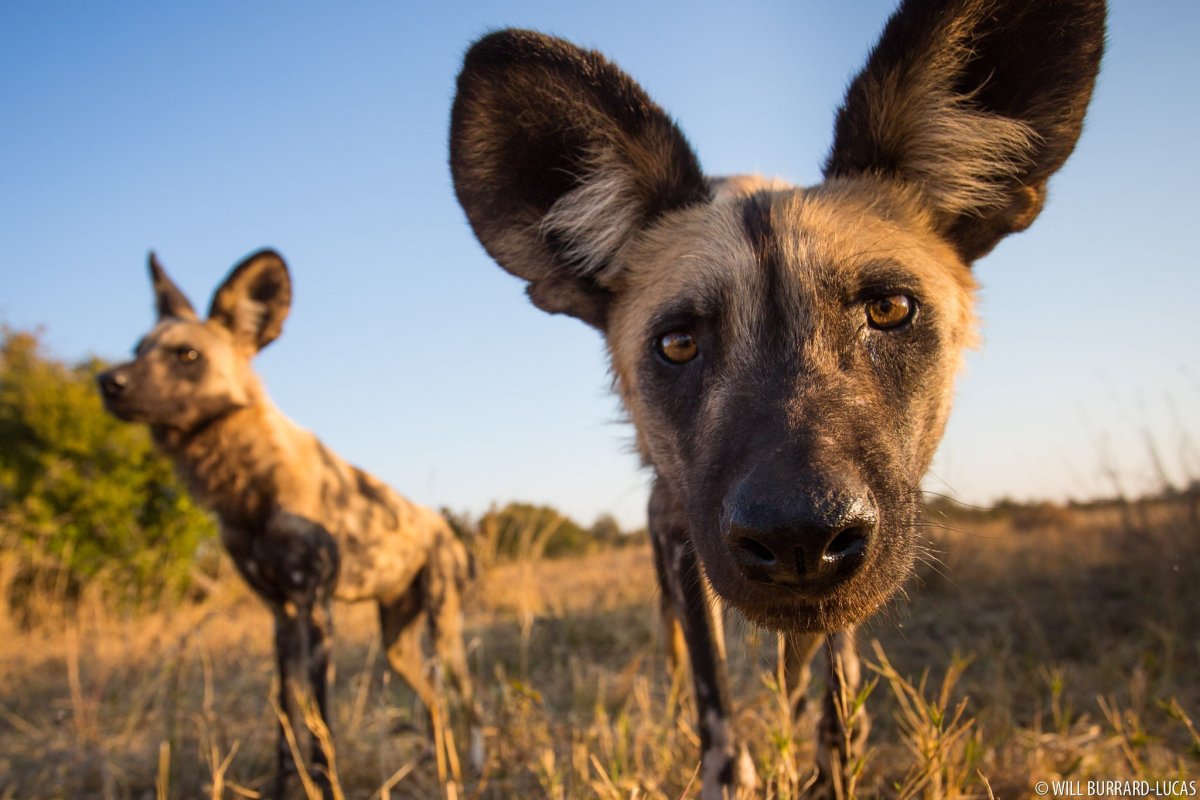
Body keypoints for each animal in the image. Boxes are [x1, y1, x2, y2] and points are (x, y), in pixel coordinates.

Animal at [97, 251, 477, 800]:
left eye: (187, 356)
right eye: (137, 350)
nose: (107, 382)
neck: (248, 487)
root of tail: (446, 526)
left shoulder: (315, 609)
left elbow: (321, 726)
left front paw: (327, 785)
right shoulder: (280, 616)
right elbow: (285, 717)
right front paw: (281, 787)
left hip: (444, 630)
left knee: (470, 699)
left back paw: (473, 767)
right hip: (396, 645)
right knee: (436, 702)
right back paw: (439, 767)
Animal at [451, 0, 1104, 796]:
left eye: (889, 309)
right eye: (678, 344)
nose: (800, 535)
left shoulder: (856, 573)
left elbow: (836, 693)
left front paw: (830, 765)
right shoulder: (684, 540)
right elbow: (717, 710)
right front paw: (731, 768)